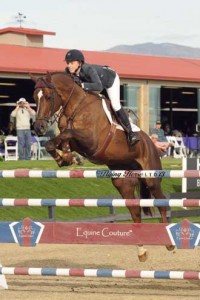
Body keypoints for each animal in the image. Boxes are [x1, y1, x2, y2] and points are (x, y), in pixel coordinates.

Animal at [30, 72, 174, 260]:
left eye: (48, 96)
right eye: (34, 97)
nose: (39, 128)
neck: (76, 106)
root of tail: (151, 143)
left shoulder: (91, 141)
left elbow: (67, 133)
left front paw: (69, 157)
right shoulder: (76, 142)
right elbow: (53, 143)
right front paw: (67, 159)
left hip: (151, 178)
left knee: (162, 203)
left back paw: (169, 243)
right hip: (123, 183)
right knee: (135, 211)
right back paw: (141, 251)